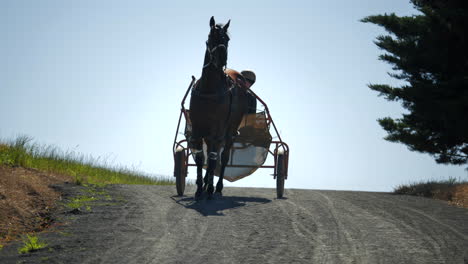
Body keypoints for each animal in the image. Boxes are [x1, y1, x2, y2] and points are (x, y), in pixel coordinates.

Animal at [188, 16, 250, 199]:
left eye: (227, 39)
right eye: (212, 36)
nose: (222, 59)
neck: (209, 89)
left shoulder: (217, 129)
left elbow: (214, 158)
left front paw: (209, 188)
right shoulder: (197, 128)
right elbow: (201, 158)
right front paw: (199, 187)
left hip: (229, 131)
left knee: (223, 157)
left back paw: (217, 186)